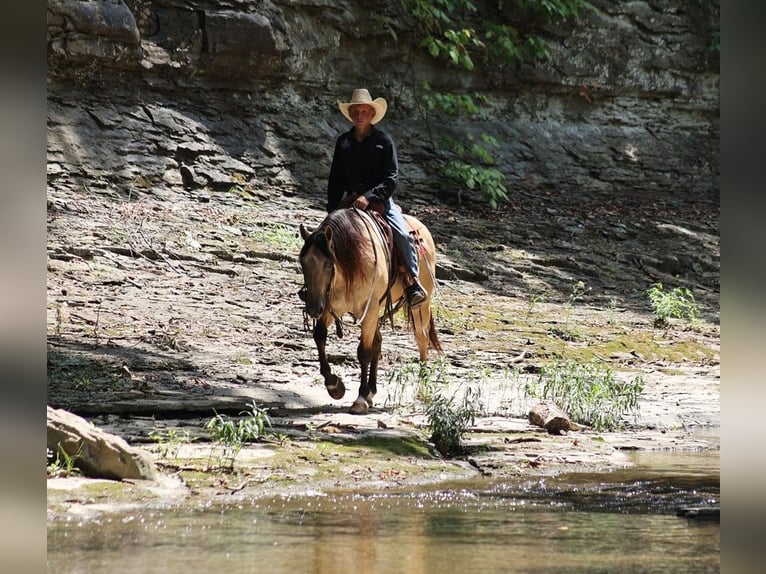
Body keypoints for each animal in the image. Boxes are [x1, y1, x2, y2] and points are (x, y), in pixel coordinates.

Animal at [298, 207, 442, 414]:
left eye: (328, 264)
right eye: (302, 263)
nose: (313, 308)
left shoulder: (369, 307)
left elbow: (363, 352)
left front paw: (360, 399)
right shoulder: (332, 307)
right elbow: (319, 336)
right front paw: (335, 386)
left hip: (421, 304)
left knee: (421, 339)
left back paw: (422, 389)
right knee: (378, 342)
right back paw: (372, 392)